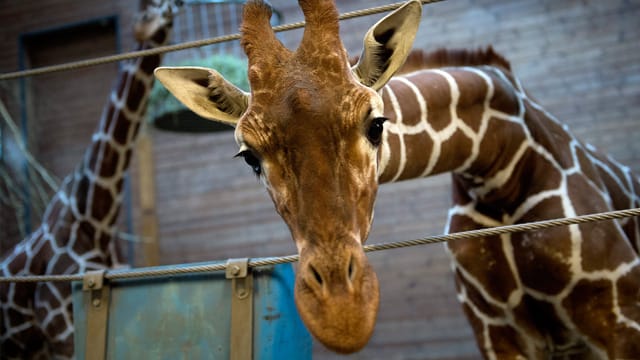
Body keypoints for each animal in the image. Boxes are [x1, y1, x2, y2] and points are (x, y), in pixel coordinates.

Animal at [155, 0, 640, 356]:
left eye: (376, 125)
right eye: (249, 157)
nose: (342, 314)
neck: (497, 167)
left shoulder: (621, 321)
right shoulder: (496, 334)